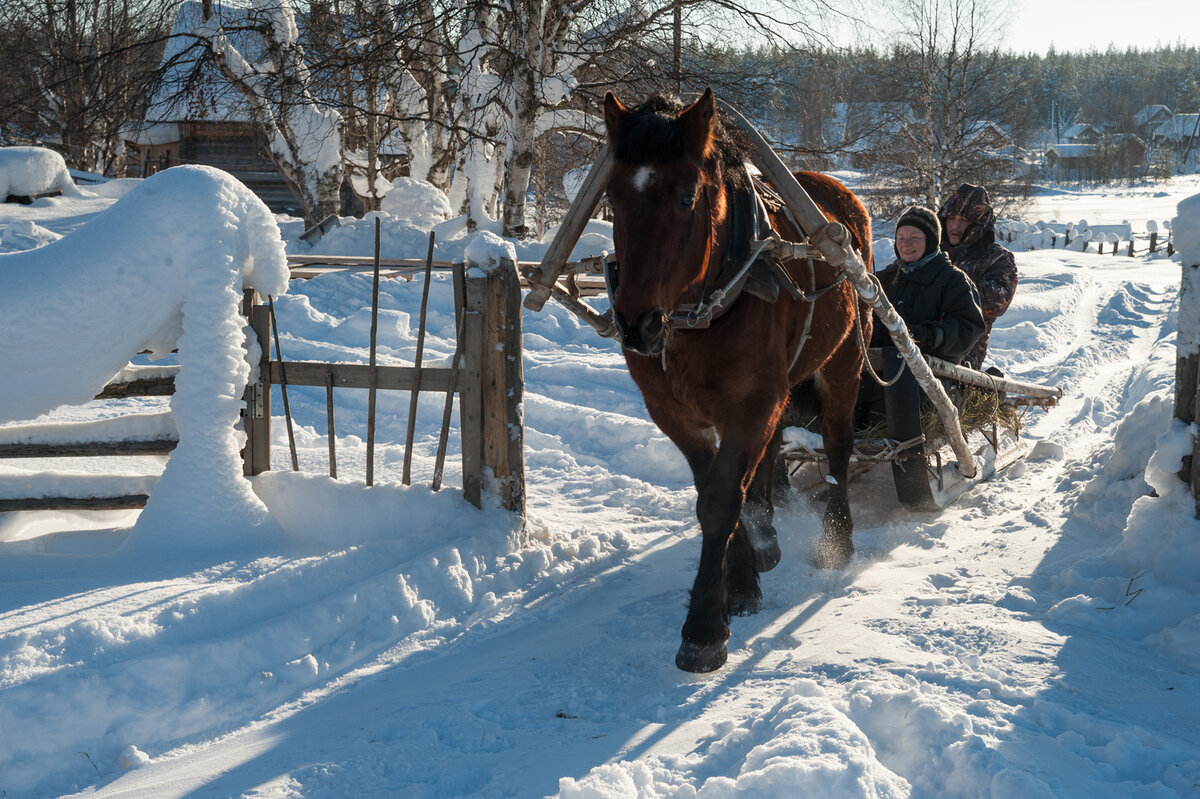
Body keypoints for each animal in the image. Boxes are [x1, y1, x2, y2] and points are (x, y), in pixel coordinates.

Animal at [600, 88, 873, 671]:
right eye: (611, 197)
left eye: (686, 197)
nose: (635, 324)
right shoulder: (675, 411)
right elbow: (719, 492)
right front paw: (742, 580)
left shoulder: (750, 401)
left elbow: (723, 499)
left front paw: (704, 628)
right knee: (770, 457)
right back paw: (767, 534)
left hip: (842, 362)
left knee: (838, 447)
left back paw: (837, 539)